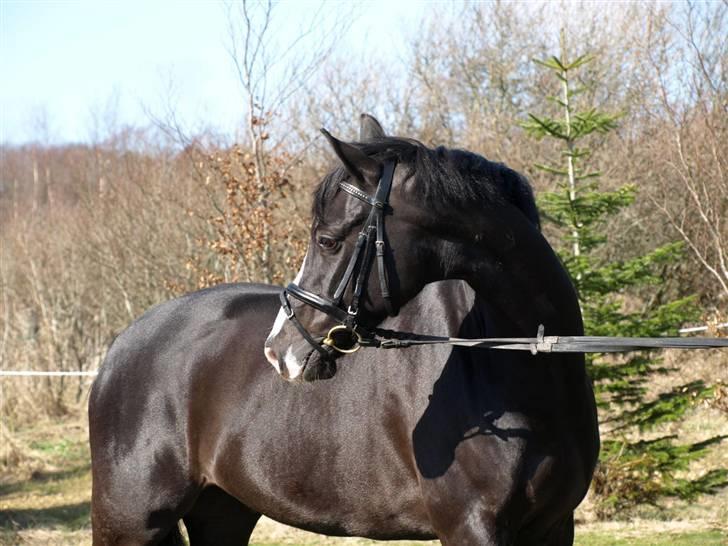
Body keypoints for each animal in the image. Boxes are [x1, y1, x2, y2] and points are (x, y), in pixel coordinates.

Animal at [89, 115, 599, 545]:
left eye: (328, 240)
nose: (279, 350)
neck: (524, 367)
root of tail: (119, 349)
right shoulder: (471, 527)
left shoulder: (554, 527)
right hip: (129, 522)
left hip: (222, 512)